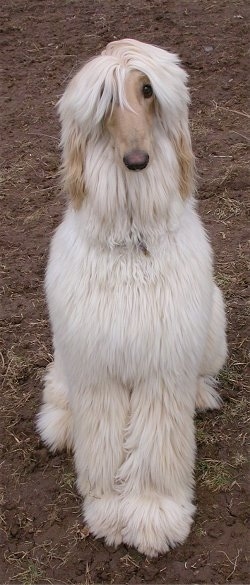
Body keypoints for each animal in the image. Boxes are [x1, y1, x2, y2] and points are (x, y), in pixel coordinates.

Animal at [36, 38, 227, 556]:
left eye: (147, 90)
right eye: (105, 98)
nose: (138, 160)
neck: (132, 239)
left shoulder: (161, 363)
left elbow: (158, 444)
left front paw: (152, 514)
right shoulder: (96, 362)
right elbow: (101, 443)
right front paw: (107, 510)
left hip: (212, 327)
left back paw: (199, 395)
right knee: (59, 384)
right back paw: (61, 420)